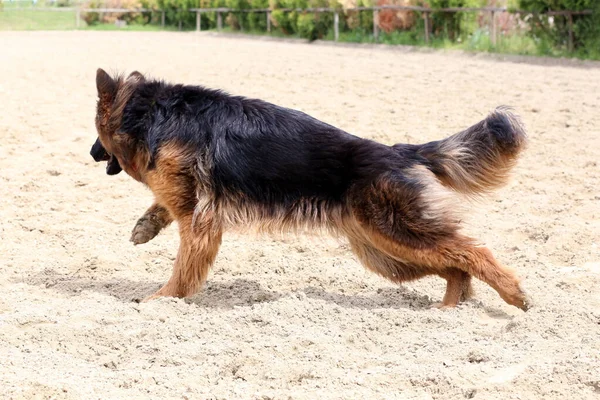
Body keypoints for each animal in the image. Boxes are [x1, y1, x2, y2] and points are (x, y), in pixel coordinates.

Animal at [89, 69, 528, 310]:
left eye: (96, 134)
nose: (91, 153)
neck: (150, 112)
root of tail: (397, 151)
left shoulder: (199, 222)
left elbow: (182, 269)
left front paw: (163, 301)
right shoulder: (189, 207)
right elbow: (163, 204)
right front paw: (146, 226)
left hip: (396, 235)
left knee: (473, 252)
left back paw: (511, 294)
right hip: (387, 252)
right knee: (456, 262)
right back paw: (450, 308)